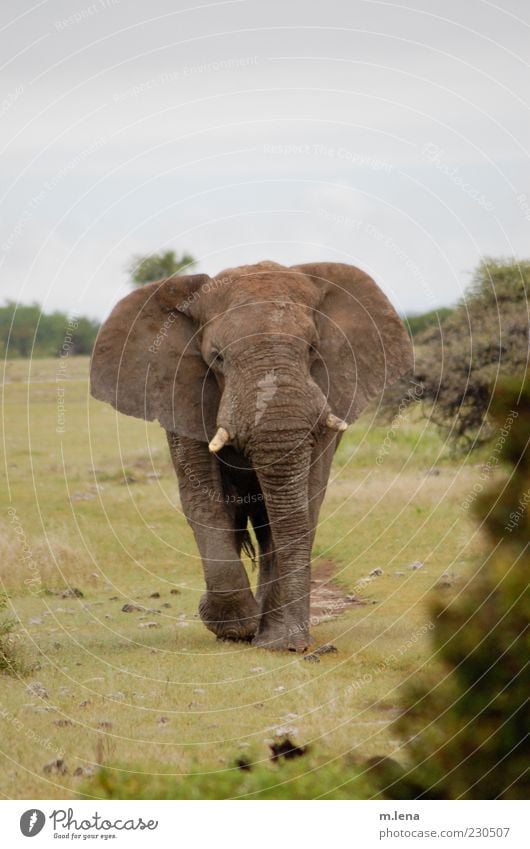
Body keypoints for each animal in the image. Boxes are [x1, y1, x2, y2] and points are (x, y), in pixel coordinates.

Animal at [89, 258, 412, 648]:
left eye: (312, 349)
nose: (295, 645)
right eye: (217, 357)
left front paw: (279, 641)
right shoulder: (181, 390)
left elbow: (303, 502)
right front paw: (236, 627)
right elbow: (203, 497)